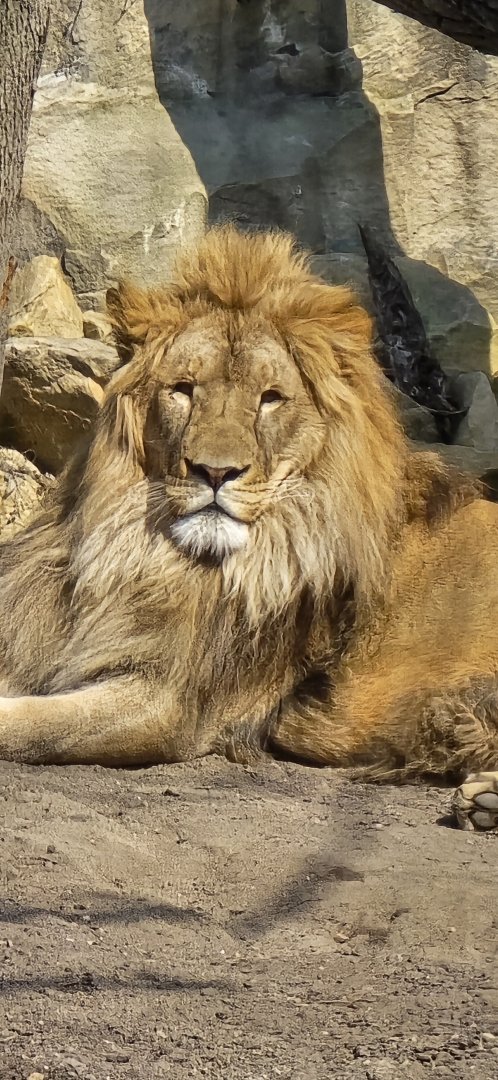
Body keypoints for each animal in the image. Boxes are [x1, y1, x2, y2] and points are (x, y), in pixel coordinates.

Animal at [0, 226, 497, 831]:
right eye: (184, 389)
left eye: (270, 399)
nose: (215, 472)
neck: (147, 556)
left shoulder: (171, 704)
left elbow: (34, 725)